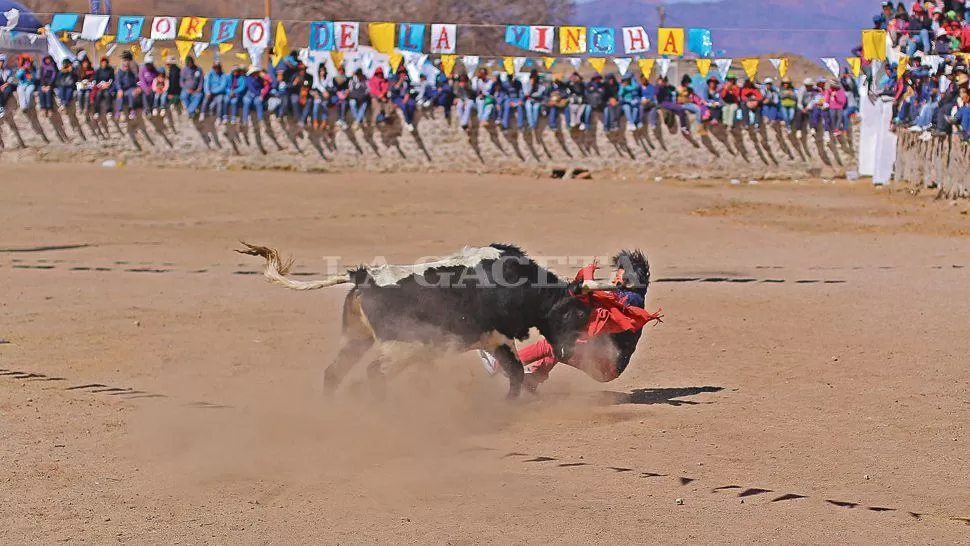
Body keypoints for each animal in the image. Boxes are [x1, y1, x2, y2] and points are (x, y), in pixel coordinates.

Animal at [236, 240, 652, 398]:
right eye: (580, 313)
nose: (610, 366)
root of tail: (364, 276)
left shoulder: (495, 339)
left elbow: (516, 372)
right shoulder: (497, 336)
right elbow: (516, 372)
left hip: (358, 339)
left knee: (334, 373)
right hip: (402, 347)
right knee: (372, 375)